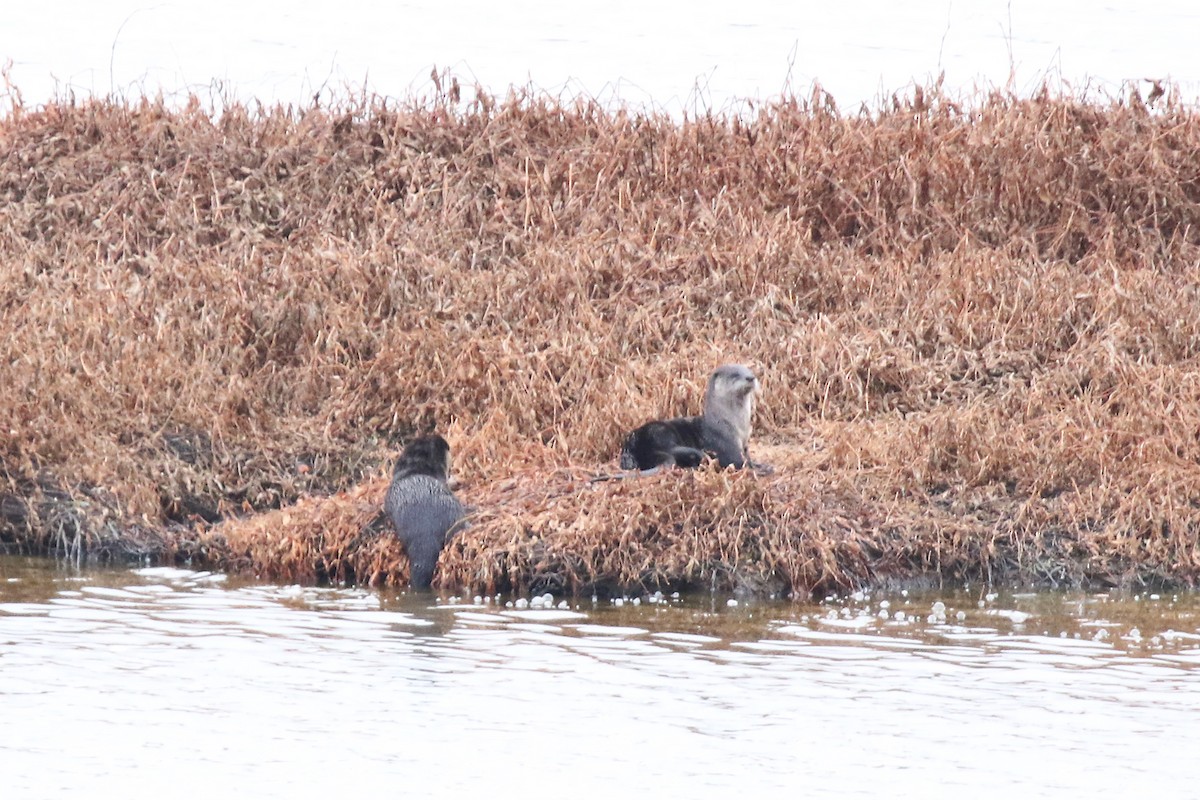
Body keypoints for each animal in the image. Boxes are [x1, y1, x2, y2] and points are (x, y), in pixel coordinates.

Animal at [619, 364, 765, 472]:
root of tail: (638, 449)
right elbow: (736, 462)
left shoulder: (745, 444)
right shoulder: (725, 442)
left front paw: (759, 464)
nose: (751, 377)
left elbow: (748, 458)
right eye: (735, 374)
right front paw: (760, 469)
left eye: (749, 371)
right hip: (659, 431)